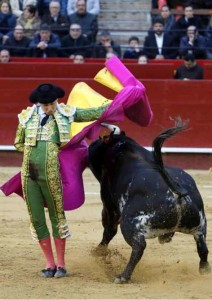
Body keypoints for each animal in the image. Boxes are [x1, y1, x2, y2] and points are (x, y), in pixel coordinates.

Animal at [88, 120, 210, 284]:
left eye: (99, 141)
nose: (89, 146)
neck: (124, 150)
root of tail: (175, 190)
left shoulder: (109, 205)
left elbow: (109, 230)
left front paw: (98, 252)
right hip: (200, 225)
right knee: (202, 247)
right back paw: (204, 270)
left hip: (131, 224)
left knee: (139, 247)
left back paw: (123, 276)